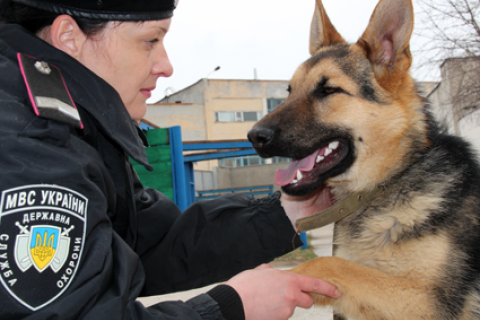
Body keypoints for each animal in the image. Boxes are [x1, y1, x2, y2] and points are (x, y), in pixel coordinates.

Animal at [249, 0, 480, 318]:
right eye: (290, 91)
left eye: (328, 90)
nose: (253, 136)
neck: (390, 180)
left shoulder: (427, 301)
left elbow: (329, 263)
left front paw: (272, 283)